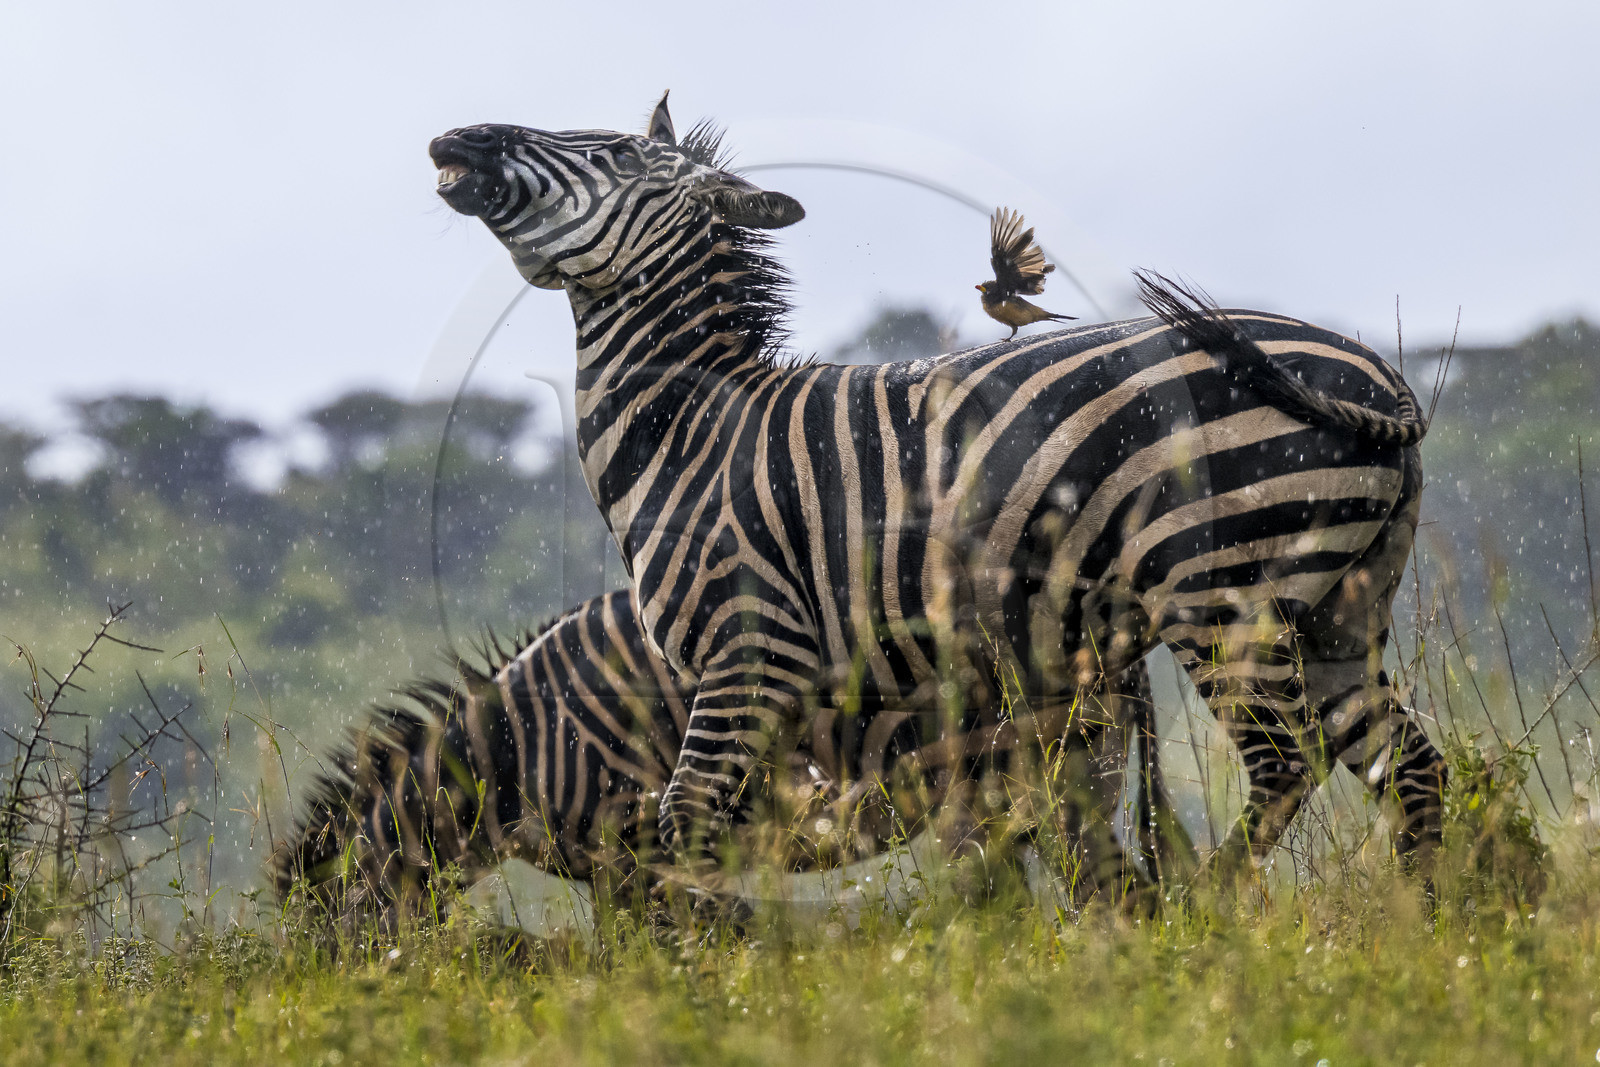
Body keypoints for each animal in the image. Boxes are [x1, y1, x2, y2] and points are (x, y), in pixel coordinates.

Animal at [277, 589, 1179, 918]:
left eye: (326, 931)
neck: (519, 752)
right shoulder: (620, 868)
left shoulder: (632, 852)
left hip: (1036, 784)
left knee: (1103, 896)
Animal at [427, 94, 1443, 881]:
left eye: (615, 155)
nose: (456, 137)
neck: (689, 428)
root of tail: (1375, 379)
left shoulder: (748, 655)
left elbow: (689, 829)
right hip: (1340, 607)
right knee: (1413, 769)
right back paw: (1446, 931)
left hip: (1223, 597)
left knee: (1284, 767)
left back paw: (1211, 913)